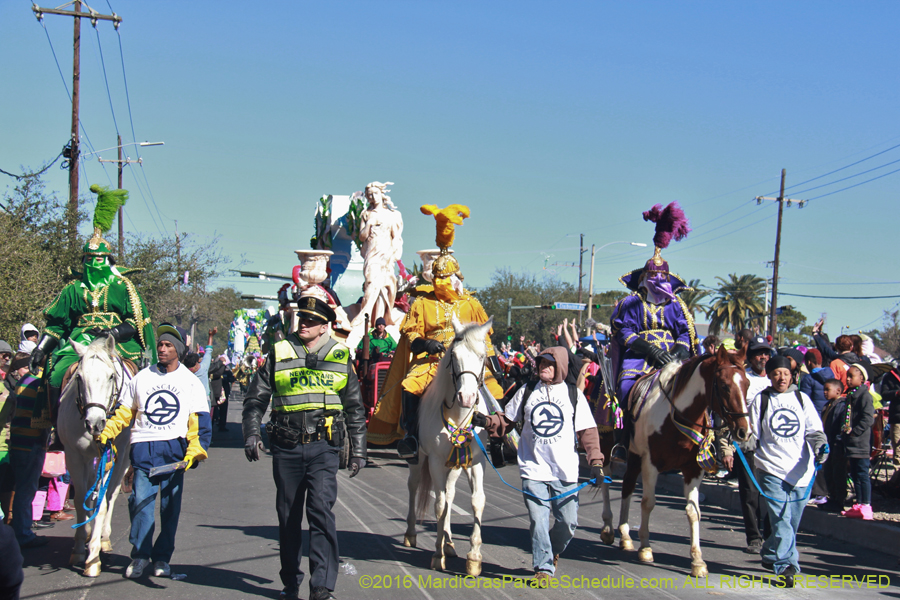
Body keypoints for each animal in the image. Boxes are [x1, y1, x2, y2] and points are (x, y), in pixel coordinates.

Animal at [58, 338, 134, 576]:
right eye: (79, 377)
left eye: (111, 376)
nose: (95, 423)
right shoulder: (73, 455)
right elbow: (81, 498)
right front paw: (79, 548)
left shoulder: (110, 456)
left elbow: (102, 501)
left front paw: (93, 558)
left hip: (123, 458)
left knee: (111, 493)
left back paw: (103, 538)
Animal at [404, 318, 492, 576]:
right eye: (453, 355)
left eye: (482, 356)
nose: (467, 397)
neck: (459, 416)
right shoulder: (434, 461)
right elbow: (439, 504)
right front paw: (437, 554)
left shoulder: (476, 461)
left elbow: (477, 501)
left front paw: (474, 557)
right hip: (419, 460)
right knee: (414, 486)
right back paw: (411, 534)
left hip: (453, 464)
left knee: (451, 493)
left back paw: (450, 542)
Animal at [608, 344, 748, 580]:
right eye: (724, 386)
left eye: (747, 384)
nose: (744, 431)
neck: (678, 416)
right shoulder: (650, 464)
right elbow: (648, 502)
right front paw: (645, 547)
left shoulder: (694, 469)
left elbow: (694, 512)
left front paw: (697, 561)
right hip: (633, 457)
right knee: (625, 487)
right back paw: (622, 535)